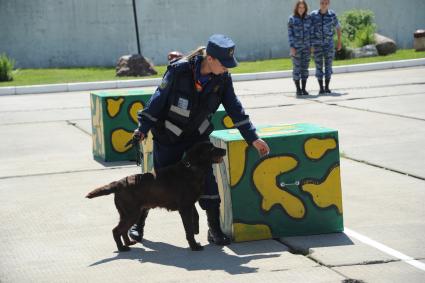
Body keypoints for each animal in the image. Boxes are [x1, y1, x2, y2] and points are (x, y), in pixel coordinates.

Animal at [85, 142, 225, 253]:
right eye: (211, 148)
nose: (224, 150)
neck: (192, 169)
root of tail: (118, 183)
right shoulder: (185, 208)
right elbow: (189, 230)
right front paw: (194, 246)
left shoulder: (190, 205)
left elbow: (194, 220)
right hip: (131, 213)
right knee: (116, 230)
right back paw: (122, 248)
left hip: (129, 212)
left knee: (123, 230)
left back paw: (128, 243)